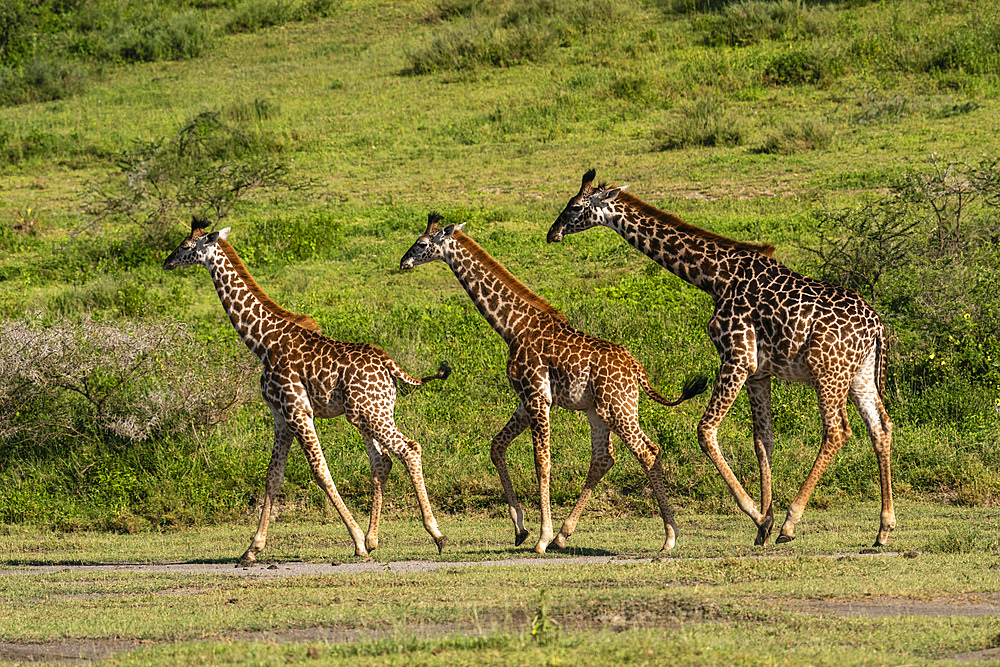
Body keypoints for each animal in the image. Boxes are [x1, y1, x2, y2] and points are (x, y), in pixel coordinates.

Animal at [165, 219, 450, 564]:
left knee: (409, 449)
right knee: (383, 462)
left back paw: (435, 535)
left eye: (185, 246)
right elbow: (273, 476)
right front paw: (252, 549)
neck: (262, 341)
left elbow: (320, 471)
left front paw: (355, 541)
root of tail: (391, 366)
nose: (166, 262)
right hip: (371, 412)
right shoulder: (280, 416)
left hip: (369, 413)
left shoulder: (298, 410)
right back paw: (374, 540)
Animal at [394, 214, 708, 552]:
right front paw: (521, 529)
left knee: (646, 452)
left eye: (422, 243)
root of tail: (637, 369)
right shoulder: (525, 399)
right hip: (600, 411)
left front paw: (541, 537)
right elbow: (497, 446)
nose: (403, 262)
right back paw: (564, 536)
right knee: (606, 458)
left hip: (618, 408)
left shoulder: (537, 396)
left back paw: (669, 537)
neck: (512, 327)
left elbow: (541, 461)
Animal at [548, 171, 900, 548]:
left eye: (576, 206)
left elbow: (705, 430)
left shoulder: (736, 358)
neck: (716, 277)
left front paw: (759, 515)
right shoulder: (759, 373)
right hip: (859, 373)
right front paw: (763, 523)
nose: (552, 233)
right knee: (881, 428)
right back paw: (884, 529)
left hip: (827, 371)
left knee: (837, 431)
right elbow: (763, 441)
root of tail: (877, 326)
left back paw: (792, 523)